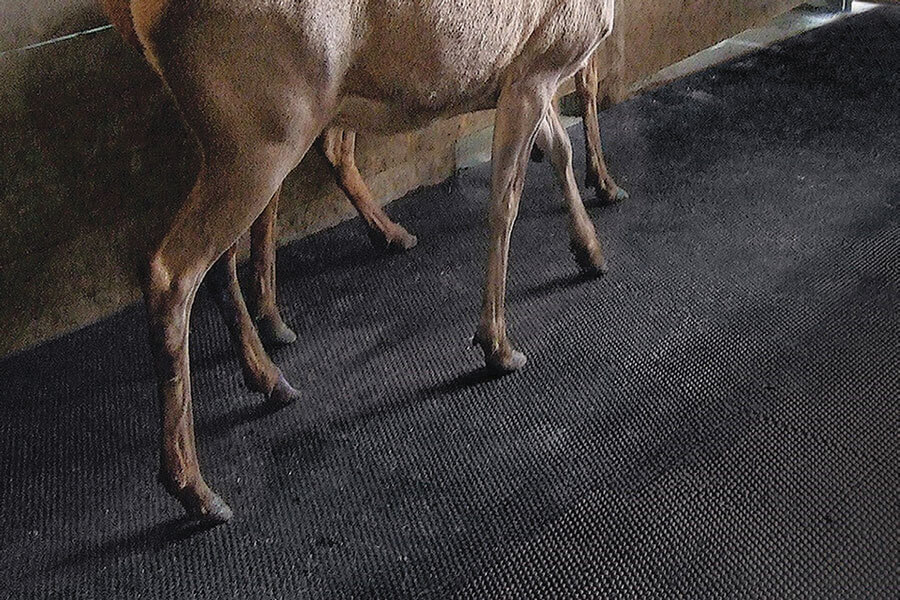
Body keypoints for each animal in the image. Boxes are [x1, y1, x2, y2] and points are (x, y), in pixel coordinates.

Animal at [103, 0, 620, 524]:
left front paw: (590, 250)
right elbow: (505, 202)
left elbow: (559, 150)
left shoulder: (528, 76)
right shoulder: (536, 67)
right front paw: (497, 345)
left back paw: (270, 378)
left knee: (218, 260)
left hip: (240, 139)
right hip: (265, 128)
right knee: (171, 271)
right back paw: (196, 488)